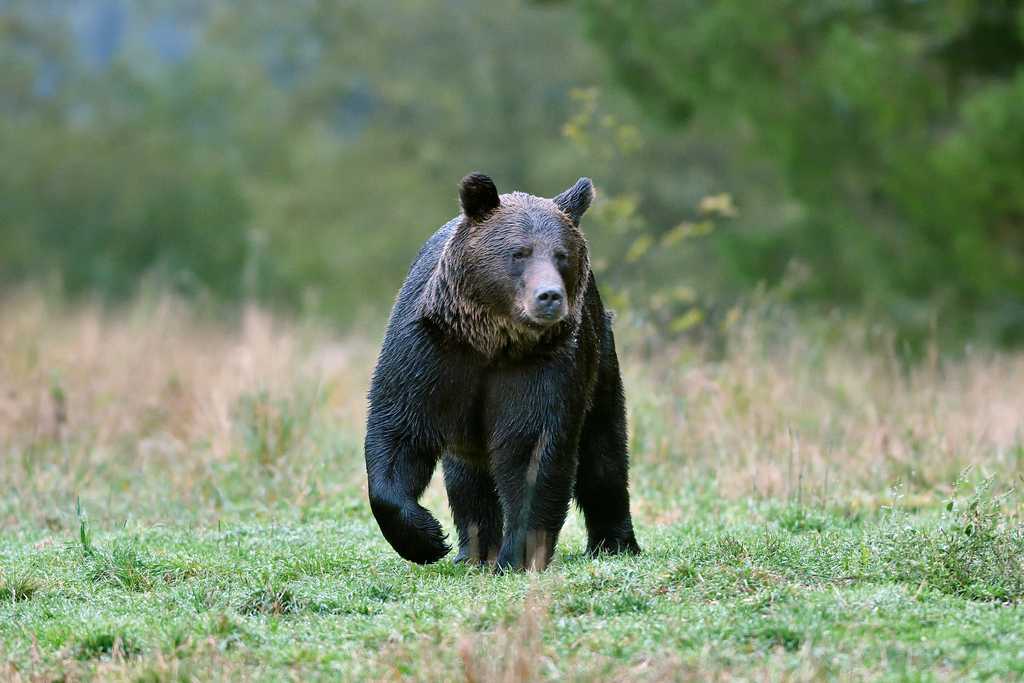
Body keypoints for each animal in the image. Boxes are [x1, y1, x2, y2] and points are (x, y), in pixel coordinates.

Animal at [364, 172, 638, 573]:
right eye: (519, 252)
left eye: (562, 255)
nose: (549, 296)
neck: (492, 341)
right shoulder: (429, 354)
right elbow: (399, 431)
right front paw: (428, 539)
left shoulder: (544, 367)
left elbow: (532, 451)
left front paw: (517, 557)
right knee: (466, 479)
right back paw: (472, 551)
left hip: (599, 357)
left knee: (604, 453)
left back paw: (614, 542)